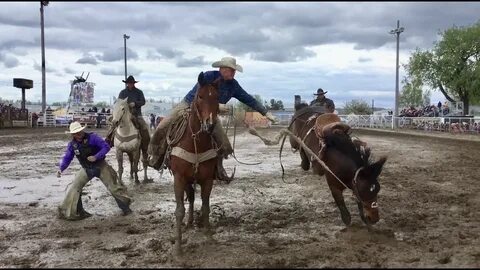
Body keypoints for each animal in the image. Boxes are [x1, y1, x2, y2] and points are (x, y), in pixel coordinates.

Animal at [168, 71, 220, 255]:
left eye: (217, 97)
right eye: (200, 96)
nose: (209, 124)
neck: (195, 142)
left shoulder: (207, 179)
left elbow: (205, 207)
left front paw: (208, 235)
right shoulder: (179, 178)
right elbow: (179, 211)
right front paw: (178, 248)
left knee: (191, 197)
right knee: (189, 198)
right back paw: (187, 224)